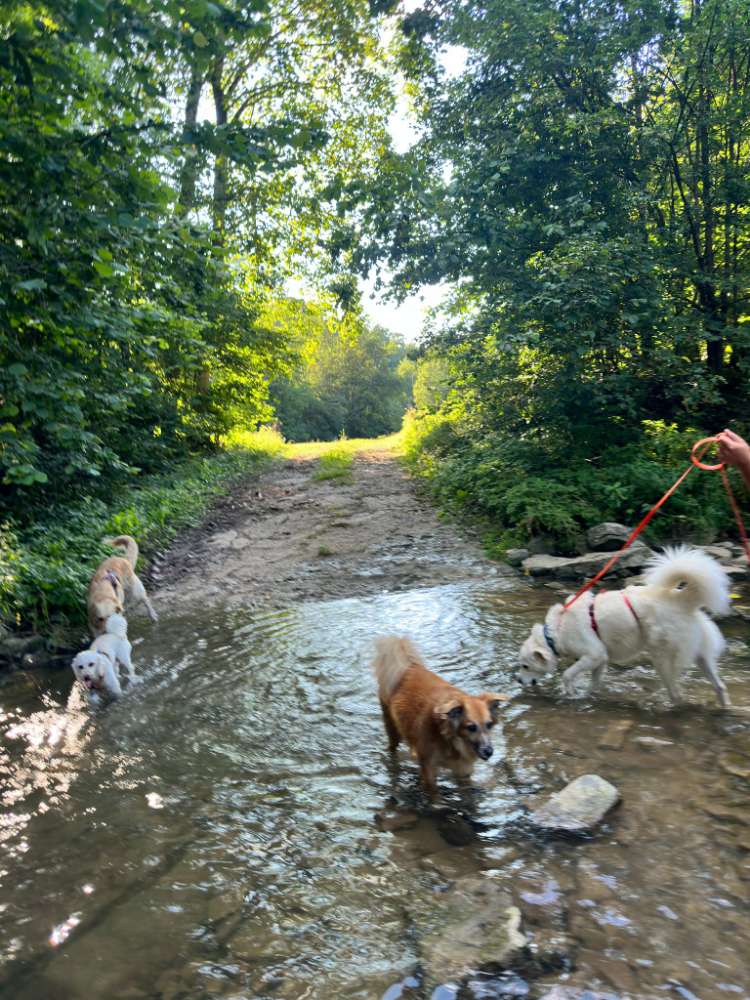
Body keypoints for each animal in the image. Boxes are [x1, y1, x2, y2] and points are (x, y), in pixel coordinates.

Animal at [374, 636, 508, 792]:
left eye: (489, 725)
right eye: (471, 727)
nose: (489, 751)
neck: (449, 738)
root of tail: (411, 667)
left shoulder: (463, 771)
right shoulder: (429, 768)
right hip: (392, 729)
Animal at [520, 552, 732, 708]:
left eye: (525, 666)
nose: (518, 680)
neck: (555, 632)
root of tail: (681, 599)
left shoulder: (594, 654)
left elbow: (567, 674)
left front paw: (571, 692)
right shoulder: (600, 660)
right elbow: (594, 683)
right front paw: (586, 696)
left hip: (662, 658)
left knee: (676, 694)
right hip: (701, 656)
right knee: (720, 685)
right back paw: (724, 706)